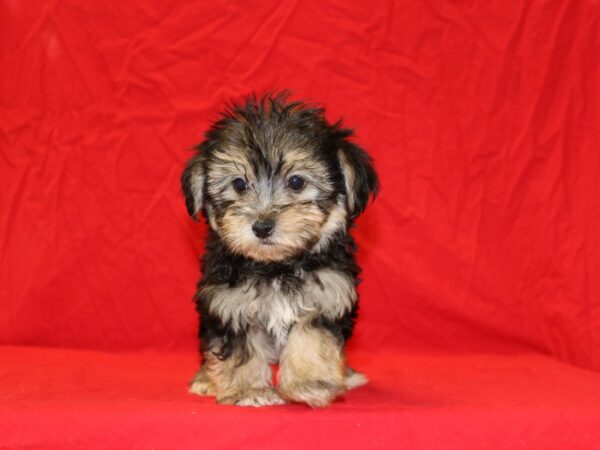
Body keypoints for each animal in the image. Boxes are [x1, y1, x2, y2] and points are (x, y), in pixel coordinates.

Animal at [180, 92, 378, 408]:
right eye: (239, 184)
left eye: (296, 182)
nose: (262, 227)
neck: (276, 266)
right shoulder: (229, 303)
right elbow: (240, 350)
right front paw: (248, 391)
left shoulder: (326, 296)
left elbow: (311, 339)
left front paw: (311, 384)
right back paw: (205, 379)